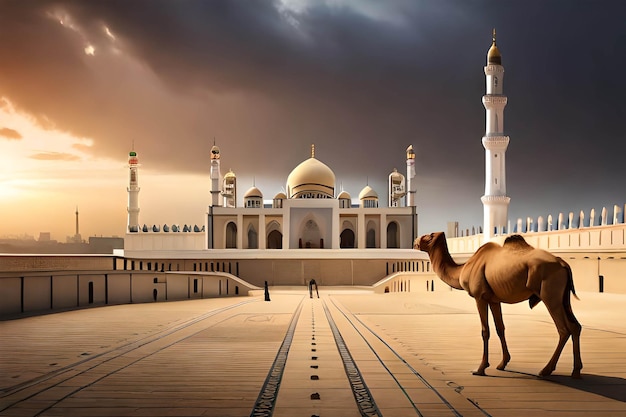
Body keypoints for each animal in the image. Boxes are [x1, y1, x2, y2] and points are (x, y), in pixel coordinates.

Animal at [414, 231, 580, 376]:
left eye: (429, 236)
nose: (415, 241)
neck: (463, 268)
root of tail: (563, 263)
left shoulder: (479, 297)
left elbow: (485, 330)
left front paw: (480, 368)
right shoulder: (494, 300)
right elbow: (500, 328)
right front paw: (502, 363)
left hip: (551, 295)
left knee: (563, 329)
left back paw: (545, 370)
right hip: (564, 298)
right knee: (575, 326)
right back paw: (576, 372)